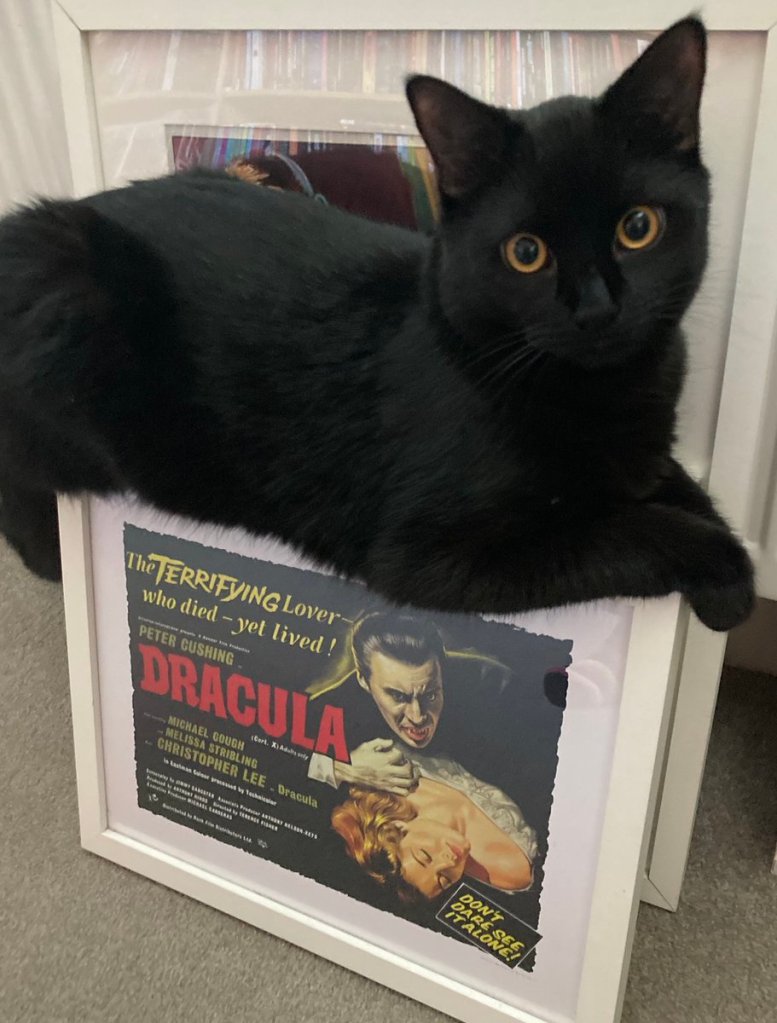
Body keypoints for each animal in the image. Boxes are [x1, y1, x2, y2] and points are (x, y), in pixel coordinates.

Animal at [0, 17, 754, 632]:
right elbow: (621, 530)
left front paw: (725, 556)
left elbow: (676, 490)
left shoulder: (644, 456)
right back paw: (49, 554)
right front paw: (725, 577)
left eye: (638, 227)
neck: (604, 394)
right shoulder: (431, 555)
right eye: (526, 252)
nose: (595, 308)